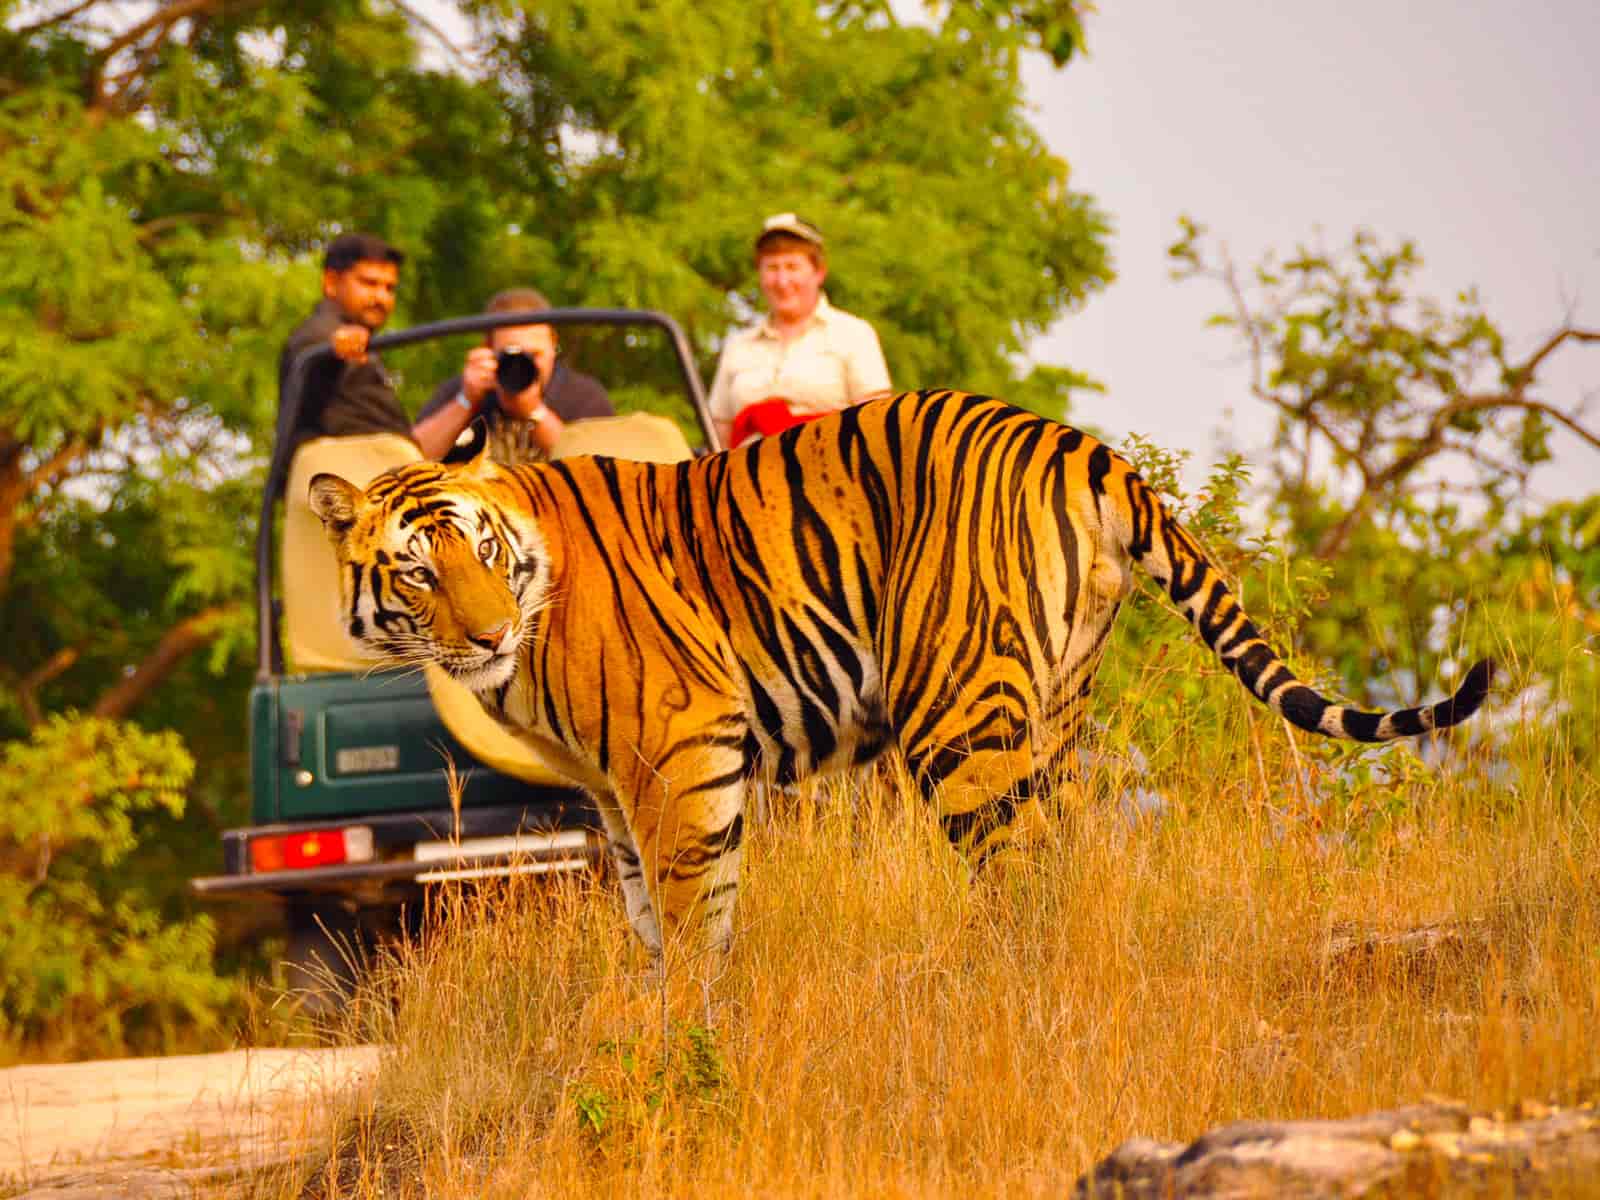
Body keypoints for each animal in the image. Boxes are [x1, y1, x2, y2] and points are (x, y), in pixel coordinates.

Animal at [308, 390, 1484, 953]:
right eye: (417, 571)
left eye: (481, 550)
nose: (487, 634)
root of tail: (1077, 442)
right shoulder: (612, 793)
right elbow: (651, 922)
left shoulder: (679, 753)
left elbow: (693, 921)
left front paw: (688, 1049)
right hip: (1056, 708)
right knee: (1065, 861)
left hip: (955, 713)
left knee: (1018, 875)